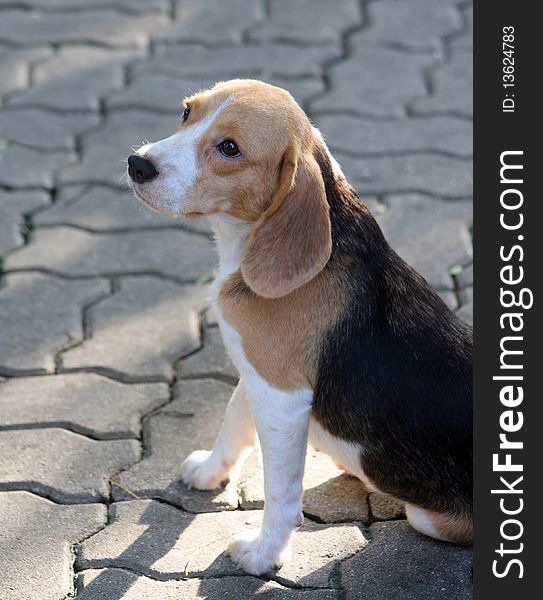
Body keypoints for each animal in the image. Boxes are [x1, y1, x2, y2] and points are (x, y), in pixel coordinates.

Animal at [126, 79, 472, 576]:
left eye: (230, 148)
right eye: (187, 111)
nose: (138, 164)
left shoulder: (282, 395)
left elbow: (281, 491)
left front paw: (263, 554)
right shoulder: (255, 370)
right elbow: (232, 421)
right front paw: (211, 471)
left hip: (427, 517)